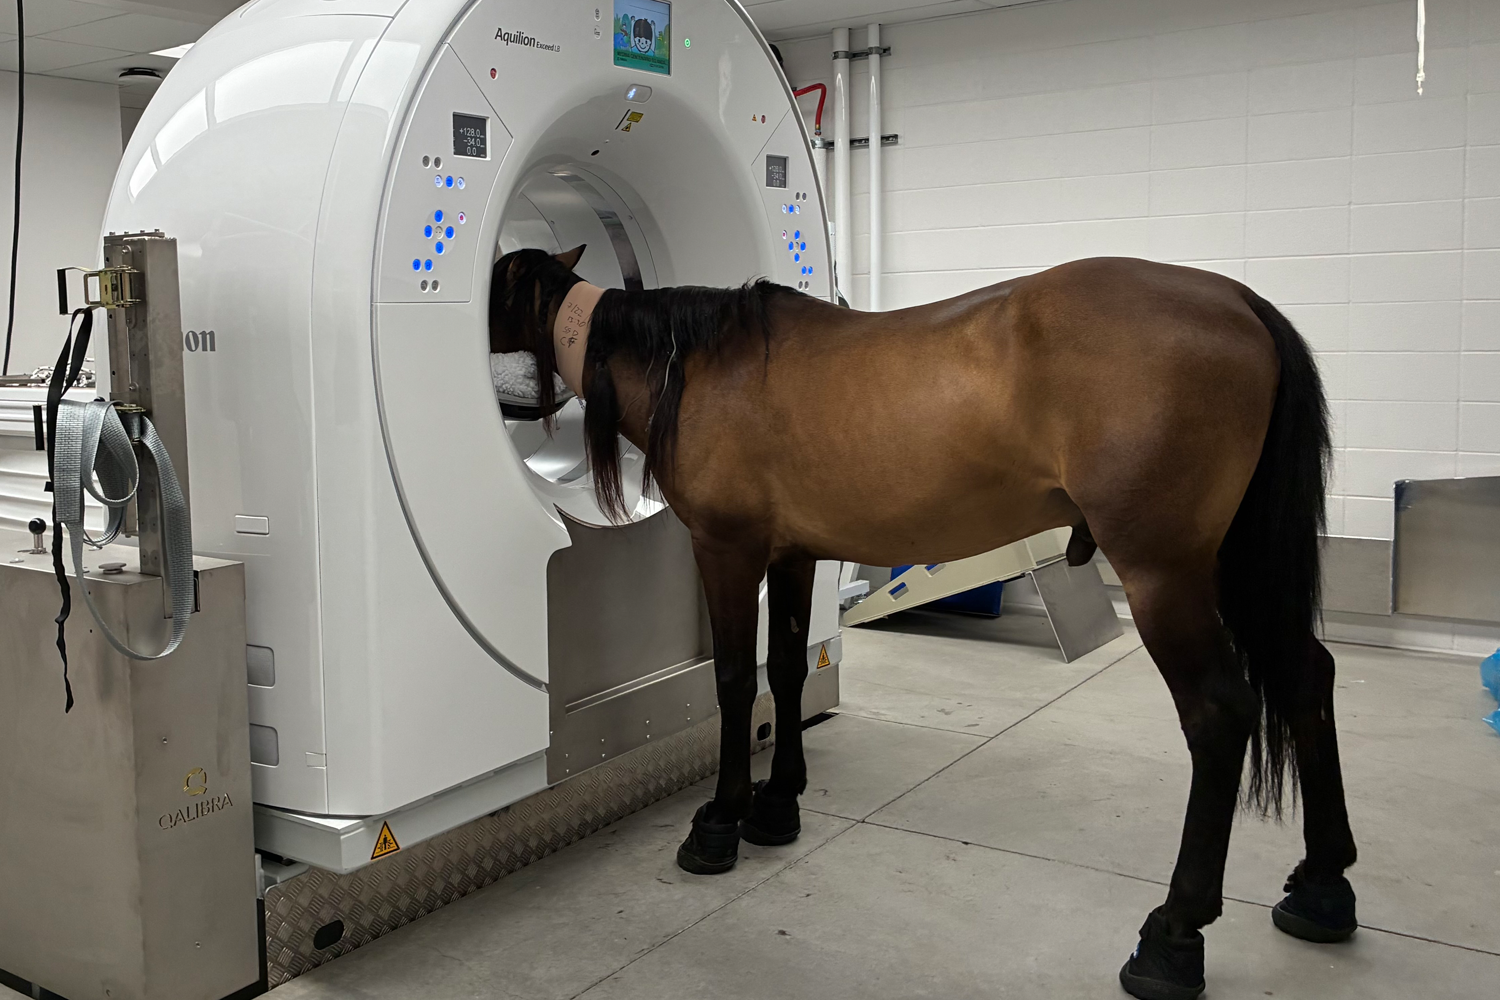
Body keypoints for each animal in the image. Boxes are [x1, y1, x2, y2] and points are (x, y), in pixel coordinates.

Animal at [488, 246, 1358, 1000]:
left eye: (491, 293)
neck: (700, 367)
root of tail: (1236, 302)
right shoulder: (793, 554)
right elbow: (789, 671)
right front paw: (778, 805)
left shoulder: (727, 550)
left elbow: (736, 682)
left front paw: (721, 822)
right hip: (1239, 567)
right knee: (1305, 675)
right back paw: (1322, 889)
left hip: (1166, 576)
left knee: (1220, 713)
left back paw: (1174, 934)